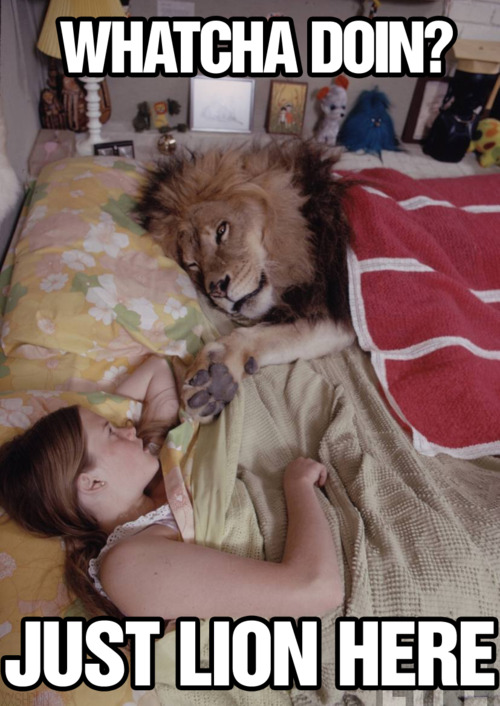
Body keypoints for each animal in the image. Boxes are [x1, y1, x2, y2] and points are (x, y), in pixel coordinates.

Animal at [138, 140, 355, 422]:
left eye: (221, 231)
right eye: (193, 264)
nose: (217, 289)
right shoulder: (336, 314)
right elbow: (268, 337)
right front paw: (214, 381)